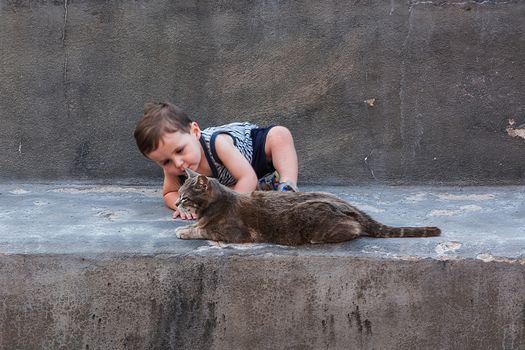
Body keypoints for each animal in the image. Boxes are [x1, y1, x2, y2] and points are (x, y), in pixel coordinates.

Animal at [175, 168, 438, 245]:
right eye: (177, 194)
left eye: (185, 197)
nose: (177, 203)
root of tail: (351, 206)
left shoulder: (233, 233)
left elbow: (203, 230)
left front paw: (184, 231)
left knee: (353, 229)